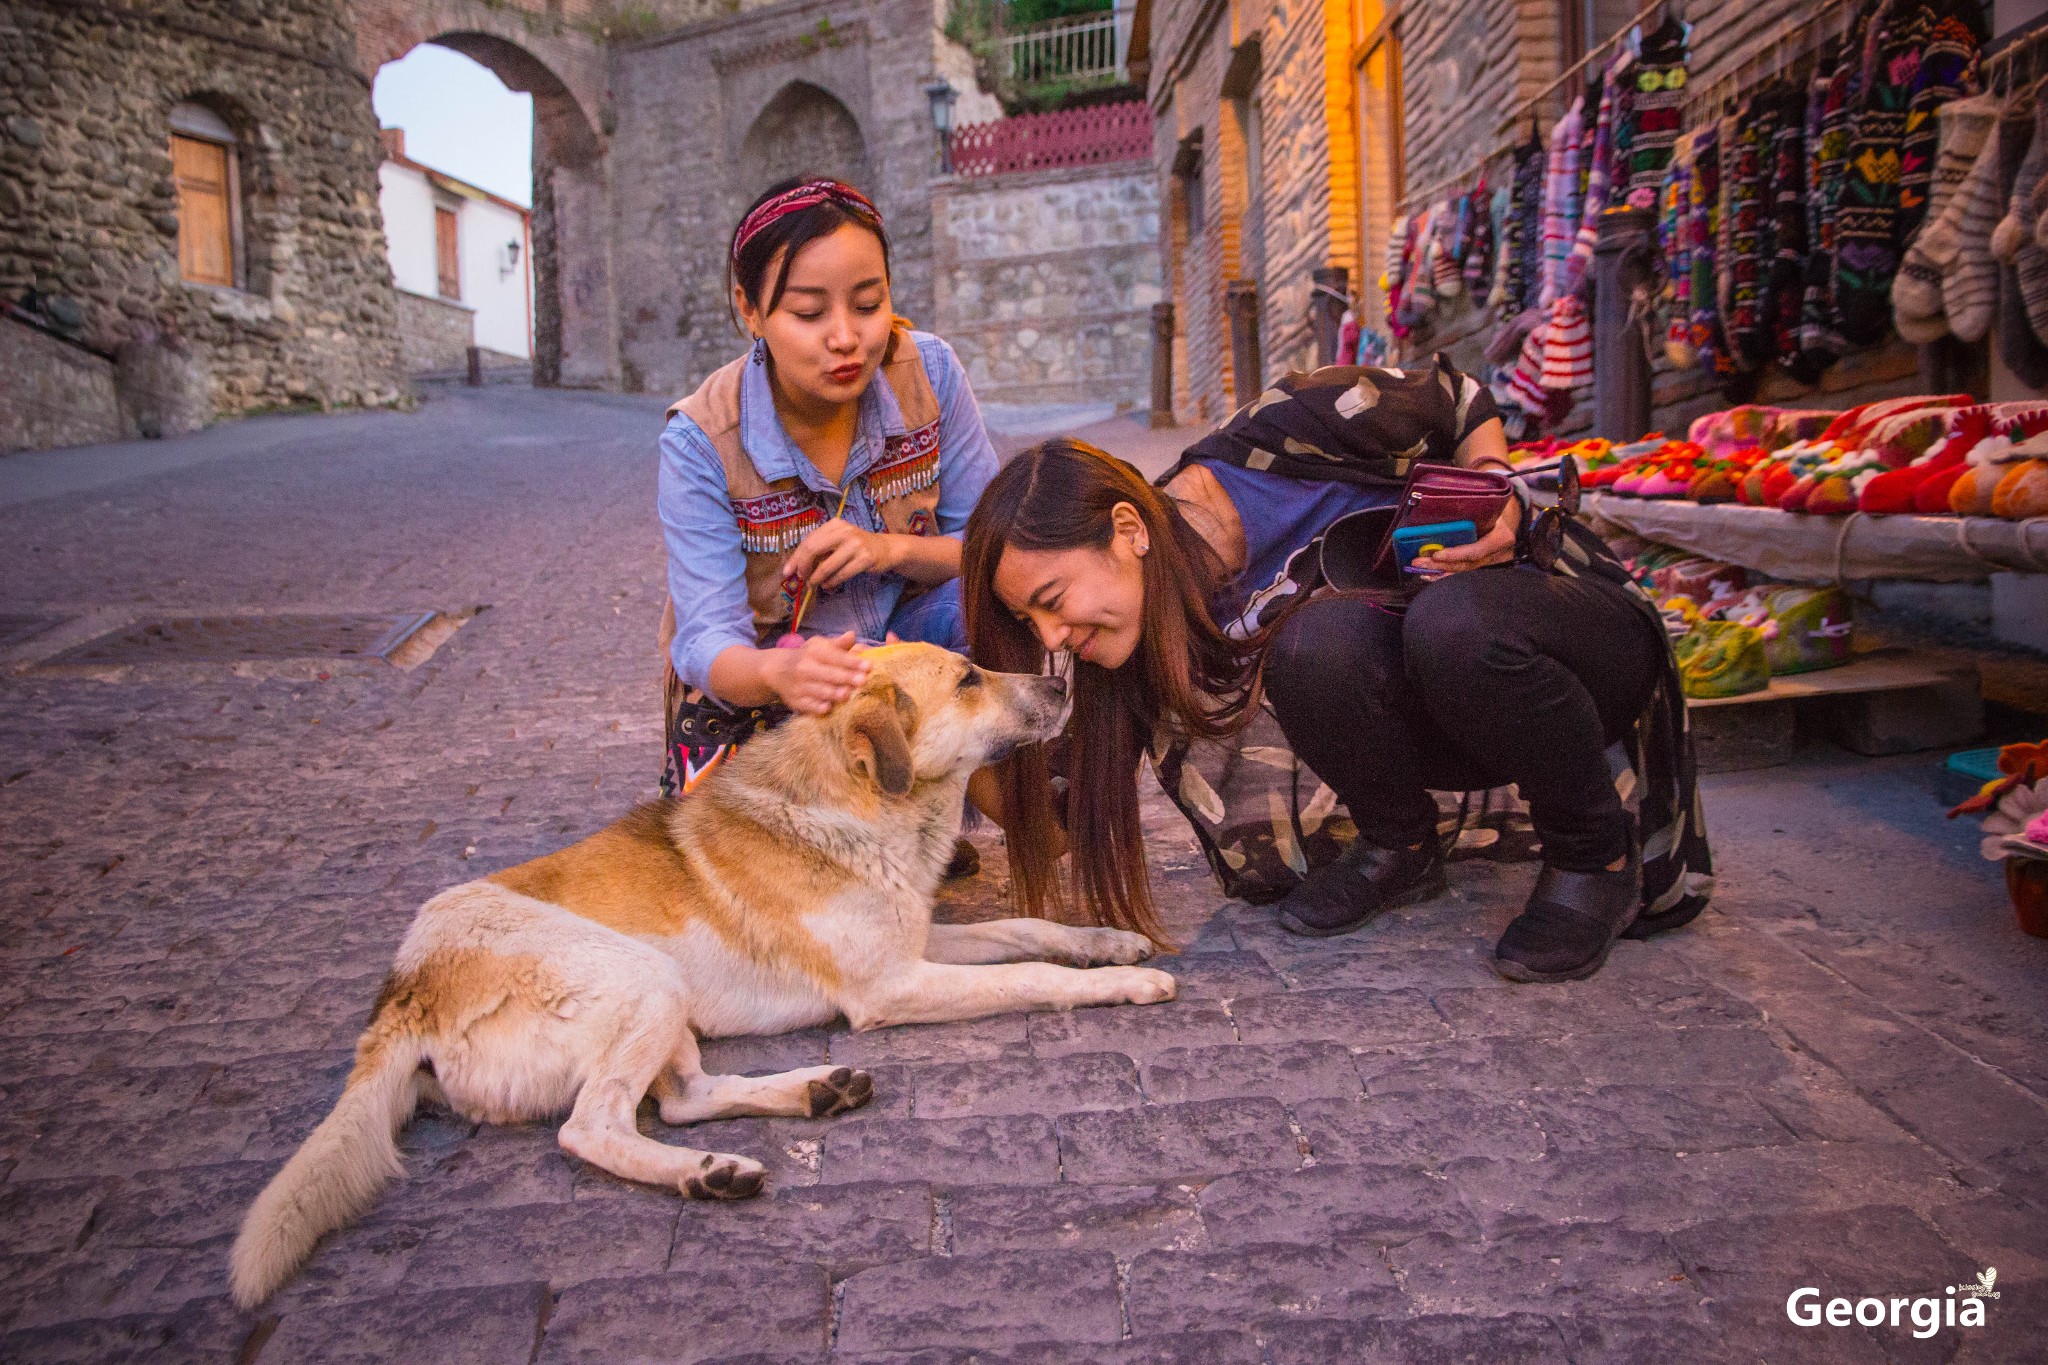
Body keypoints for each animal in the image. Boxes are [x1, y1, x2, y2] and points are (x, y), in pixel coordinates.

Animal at [226, 650, 1179, 1309]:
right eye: (970, 677)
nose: (1059, 682)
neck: (862, 800)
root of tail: (402, 991)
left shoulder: (917, 943)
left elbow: (1030, 929)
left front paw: (1110, 940)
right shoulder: (891, 989)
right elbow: (1030, 973)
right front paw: (1119, 988)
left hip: (665, 1007)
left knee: (681, 1098)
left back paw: (808, 1096)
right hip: (642, 976)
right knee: (592, 1127)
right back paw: (704, 1174)